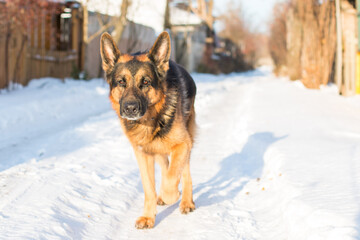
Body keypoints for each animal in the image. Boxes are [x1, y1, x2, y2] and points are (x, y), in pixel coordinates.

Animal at [100, 31, 197, 229]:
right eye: (121, 82)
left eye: (145, 82)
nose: (130, 108)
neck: (151, 120)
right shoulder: (143, 154)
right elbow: (149, 188)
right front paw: (148, 217)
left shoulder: (182, 145)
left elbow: (173, 177)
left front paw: (171, 195)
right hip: (157, 150)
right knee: (166, 167)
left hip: (186, 143)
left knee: (184, 172)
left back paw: (185, 201)